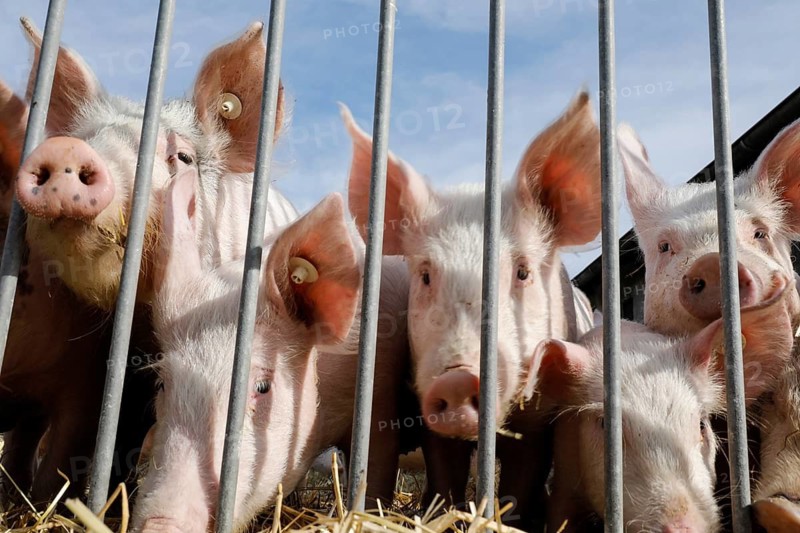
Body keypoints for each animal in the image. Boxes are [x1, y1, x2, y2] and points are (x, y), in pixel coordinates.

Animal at [342, 90, 602, 528]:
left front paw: (511, 519)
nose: (458, 379)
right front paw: (442, 514)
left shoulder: (538, 418)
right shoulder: (426, 404)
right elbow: (445, 474)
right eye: (425, 276)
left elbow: (520, 480)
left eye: (522, 272)